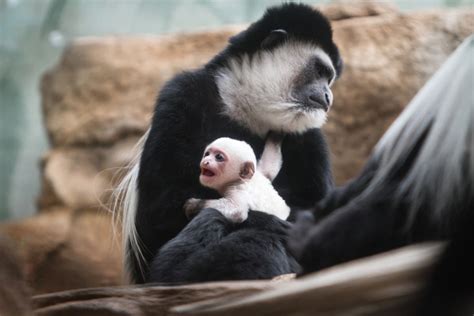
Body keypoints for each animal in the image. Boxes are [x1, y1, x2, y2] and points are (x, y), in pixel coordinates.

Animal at [116, 3, 342, 284]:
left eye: (329, 78)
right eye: (320, 71)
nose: (328, 96)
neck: (248, 111)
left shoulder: (309, 136)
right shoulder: (179, 97)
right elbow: (160, 210)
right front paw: (273, 223)